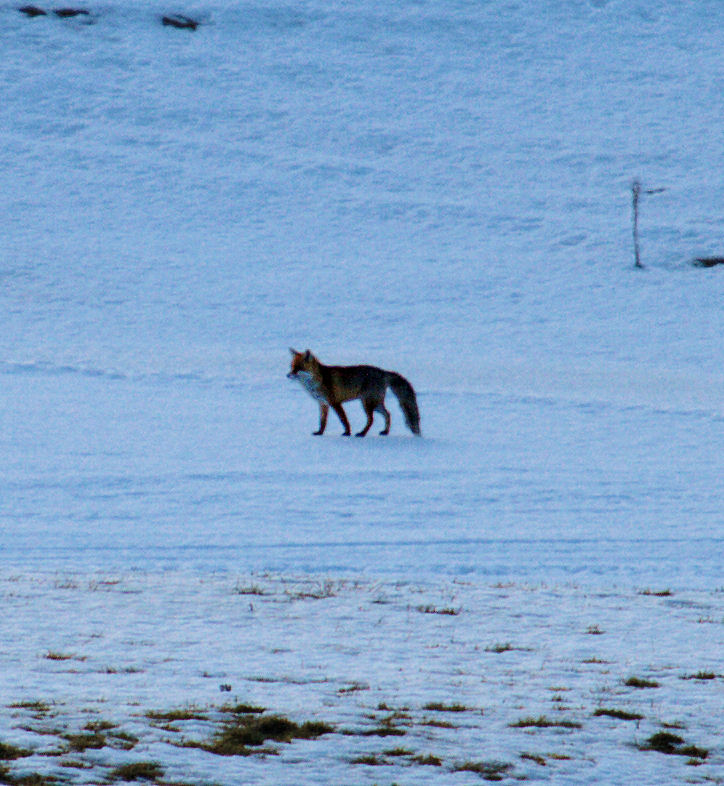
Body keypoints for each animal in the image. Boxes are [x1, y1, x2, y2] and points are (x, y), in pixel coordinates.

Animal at [288, 348, 422, 438]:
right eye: (292, 367)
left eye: (298, 368)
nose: (287, 375)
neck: (317, 381)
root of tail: (382, 371)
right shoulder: (323, 404)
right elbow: (322, 421)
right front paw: (320, 432)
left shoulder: (335, 403)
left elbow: (344, 420)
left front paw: (347, 433)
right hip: (376, 404)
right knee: (388, 414)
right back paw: (385, 432)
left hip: (367, 404)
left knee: (371, 419)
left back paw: (362, 433)